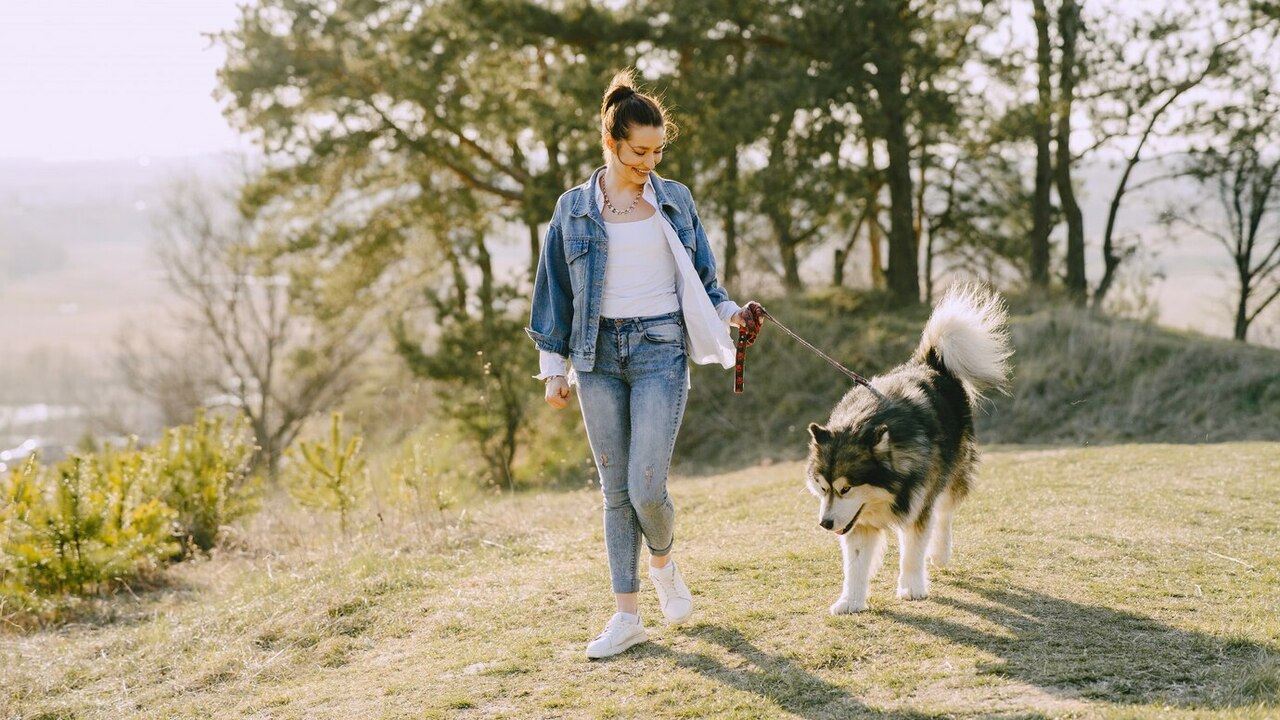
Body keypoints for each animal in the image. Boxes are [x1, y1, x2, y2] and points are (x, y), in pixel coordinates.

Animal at [808, 284, 1008, 609]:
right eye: (823, 488)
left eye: (846, 488)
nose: (825, 523)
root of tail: (928, 362)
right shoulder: (857, 522)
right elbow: (856, 563)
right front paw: (851, 601)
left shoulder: (917, 506)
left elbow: (913, 550)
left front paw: (912, 587)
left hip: (952, 472)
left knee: (944, 513)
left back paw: (939, 552)